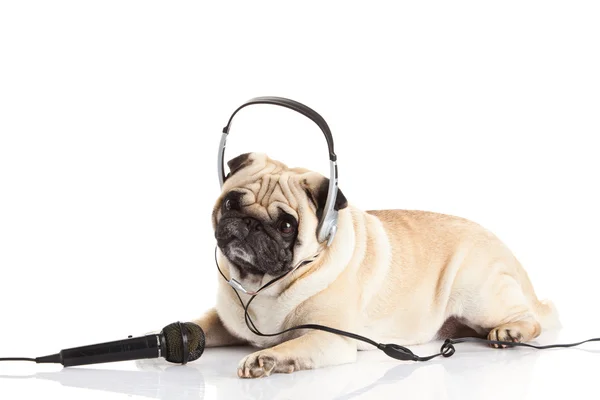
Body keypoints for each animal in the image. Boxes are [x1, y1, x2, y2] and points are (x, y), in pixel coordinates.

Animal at [191, 151, 556, 378]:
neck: (260, 286)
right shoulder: (222, 320)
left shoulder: (329, 338)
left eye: (286, 226)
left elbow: (291, 345)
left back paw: (510, 332)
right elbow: (199, 327)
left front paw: (265, 359)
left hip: (479, 295)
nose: (249, 224)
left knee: (532, 319)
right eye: (230, 203)